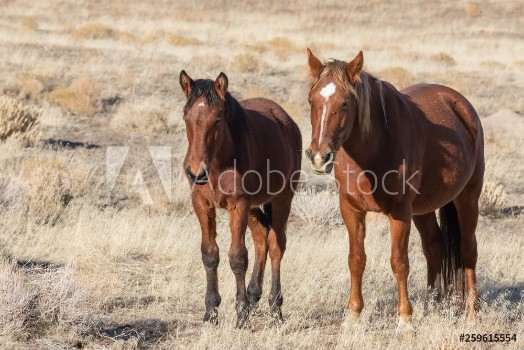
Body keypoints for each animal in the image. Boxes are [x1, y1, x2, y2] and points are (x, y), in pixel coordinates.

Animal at [180, 69, 302, 326]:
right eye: (186, 117)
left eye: (217, 120)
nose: (196, 171)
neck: (218, 164)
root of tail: (286, 119)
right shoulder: (202, 204)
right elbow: (209, 254)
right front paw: (211, 311)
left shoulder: (239, 205)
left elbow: (237, 257)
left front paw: (241, 314)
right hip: (255, 207)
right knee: (261, 238)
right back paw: (254, 296)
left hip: (282, 200)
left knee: (276, 246)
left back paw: (275, 307)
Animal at [304, 49, 486, 330]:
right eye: (311, 100)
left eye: (345, 103)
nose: (318, 157)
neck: (372, 151)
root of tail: (461, 105)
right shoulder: (351, 209)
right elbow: (356, 260)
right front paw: (353, 316)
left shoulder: (400, 212)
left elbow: (399, 262)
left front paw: (405, 319)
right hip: (423, 207)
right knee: (434, 245)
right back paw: (432, 304)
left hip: (468, 198)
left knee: (468, 249)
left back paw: (471, 313)